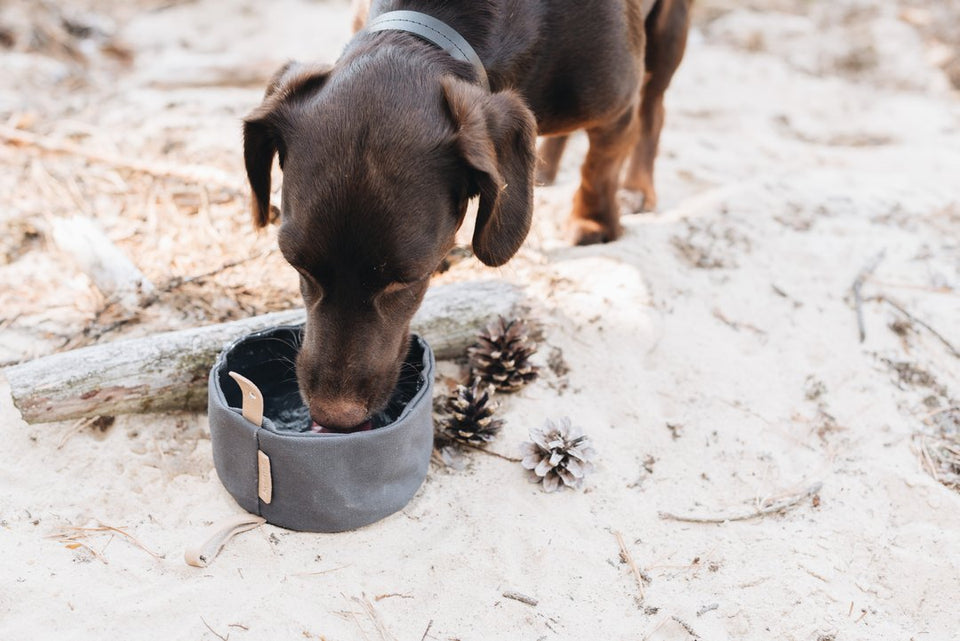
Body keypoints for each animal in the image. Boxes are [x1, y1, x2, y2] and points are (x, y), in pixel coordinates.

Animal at [240, 1, 688, 430]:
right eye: (296, 265)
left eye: (407, 279)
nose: (334, 418)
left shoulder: (617, 106)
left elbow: (600, 167)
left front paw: (594, 222)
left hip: (667, 34)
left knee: (655, 108)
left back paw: (636, 188)